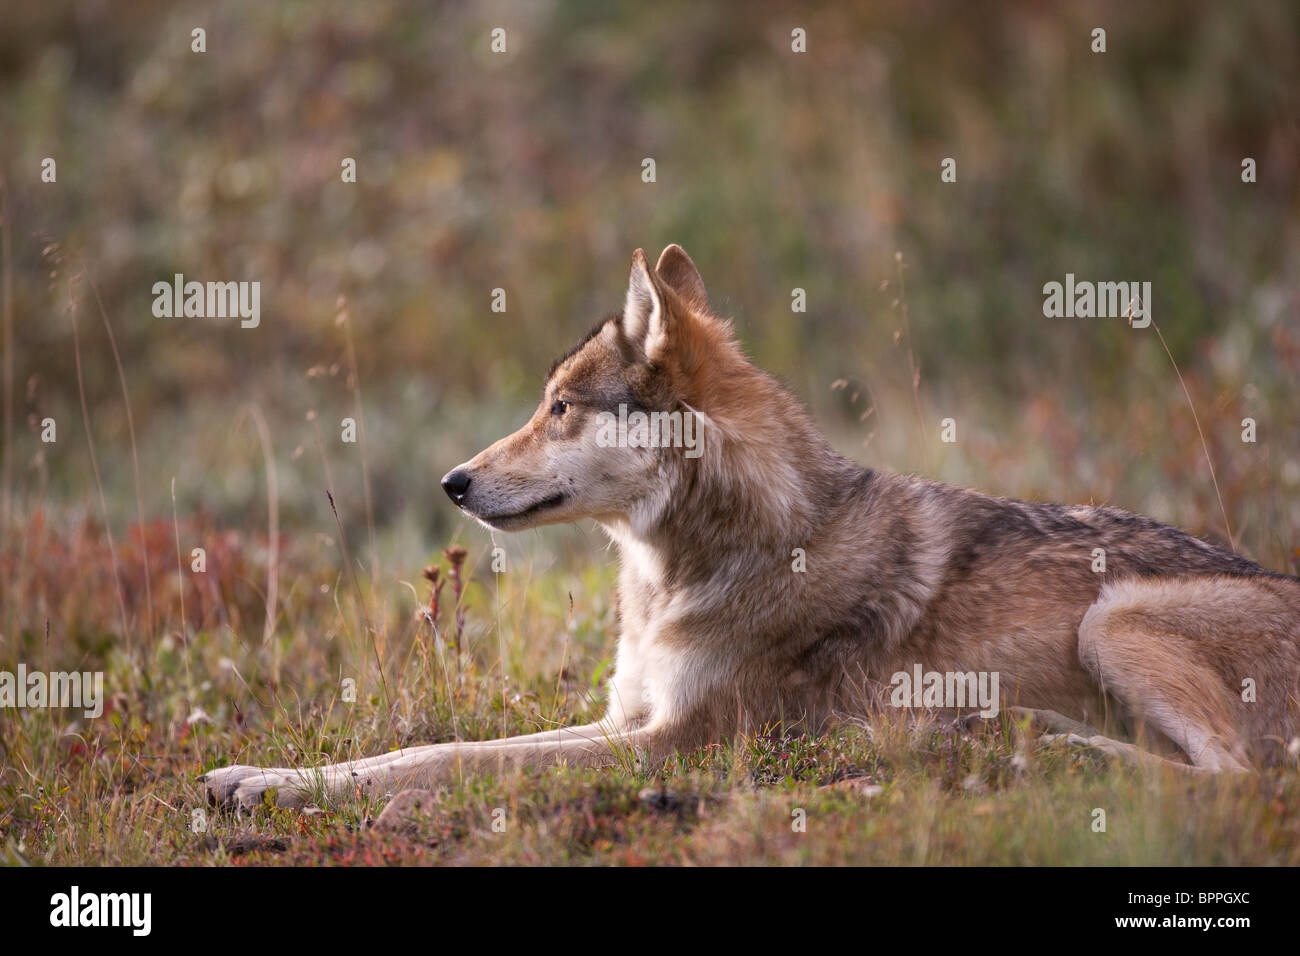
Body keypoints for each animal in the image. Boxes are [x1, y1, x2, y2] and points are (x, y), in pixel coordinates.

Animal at [202, 240, 1300, 806]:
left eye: (560, 406)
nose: (452, 482)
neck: (681, 575)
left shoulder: (675, 744)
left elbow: (454, 757)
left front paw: (281, 786)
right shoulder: (627, 719)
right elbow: (429, 747)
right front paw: (263, 775)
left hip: (1113, 617)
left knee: (1242, 780)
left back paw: (1054, 748)